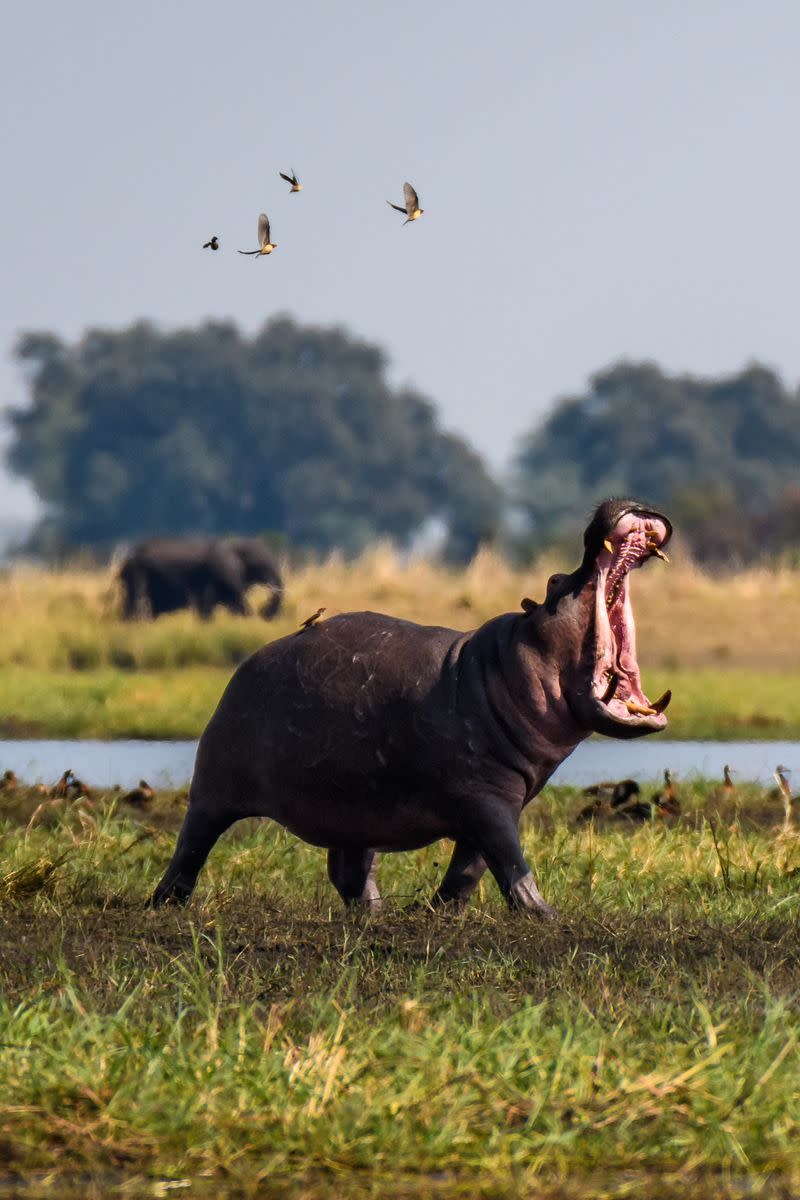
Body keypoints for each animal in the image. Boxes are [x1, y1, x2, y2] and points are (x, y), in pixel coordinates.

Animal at [117, 540, 283, 624]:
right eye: (258, 565)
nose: (264, 610)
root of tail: (126, 562)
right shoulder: (225, 574)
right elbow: (237, 605)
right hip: (138, 577)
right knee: (136, 603)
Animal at [148, 501, 671, 912]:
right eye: (556, 580)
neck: (508, 666)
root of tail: (246, 664)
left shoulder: (500, 797)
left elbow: (471, 868)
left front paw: (438, 912)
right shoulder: (485, 799)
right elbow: (509, 861)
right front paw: (544, 915)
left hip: (355, 806)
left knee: (352, 869)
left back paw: (374, 913)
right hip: (215, 785)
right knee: (192, 845)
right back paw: (165, 902)